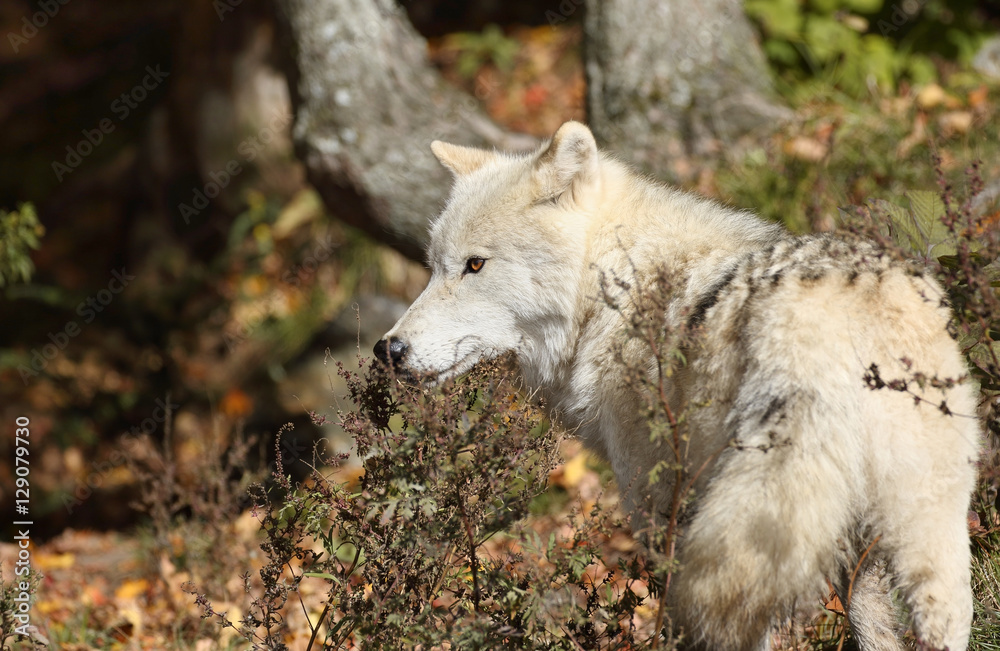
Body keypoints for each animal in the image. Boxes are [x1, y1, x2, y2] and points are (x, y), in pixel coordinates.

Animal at [374, 121, 980, 650]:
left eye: (475, 265)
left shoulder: (655, 506)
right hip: (917, 530)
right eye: (433, 267)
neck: (613, 288)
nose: (388, 350)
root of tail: (839, 319)